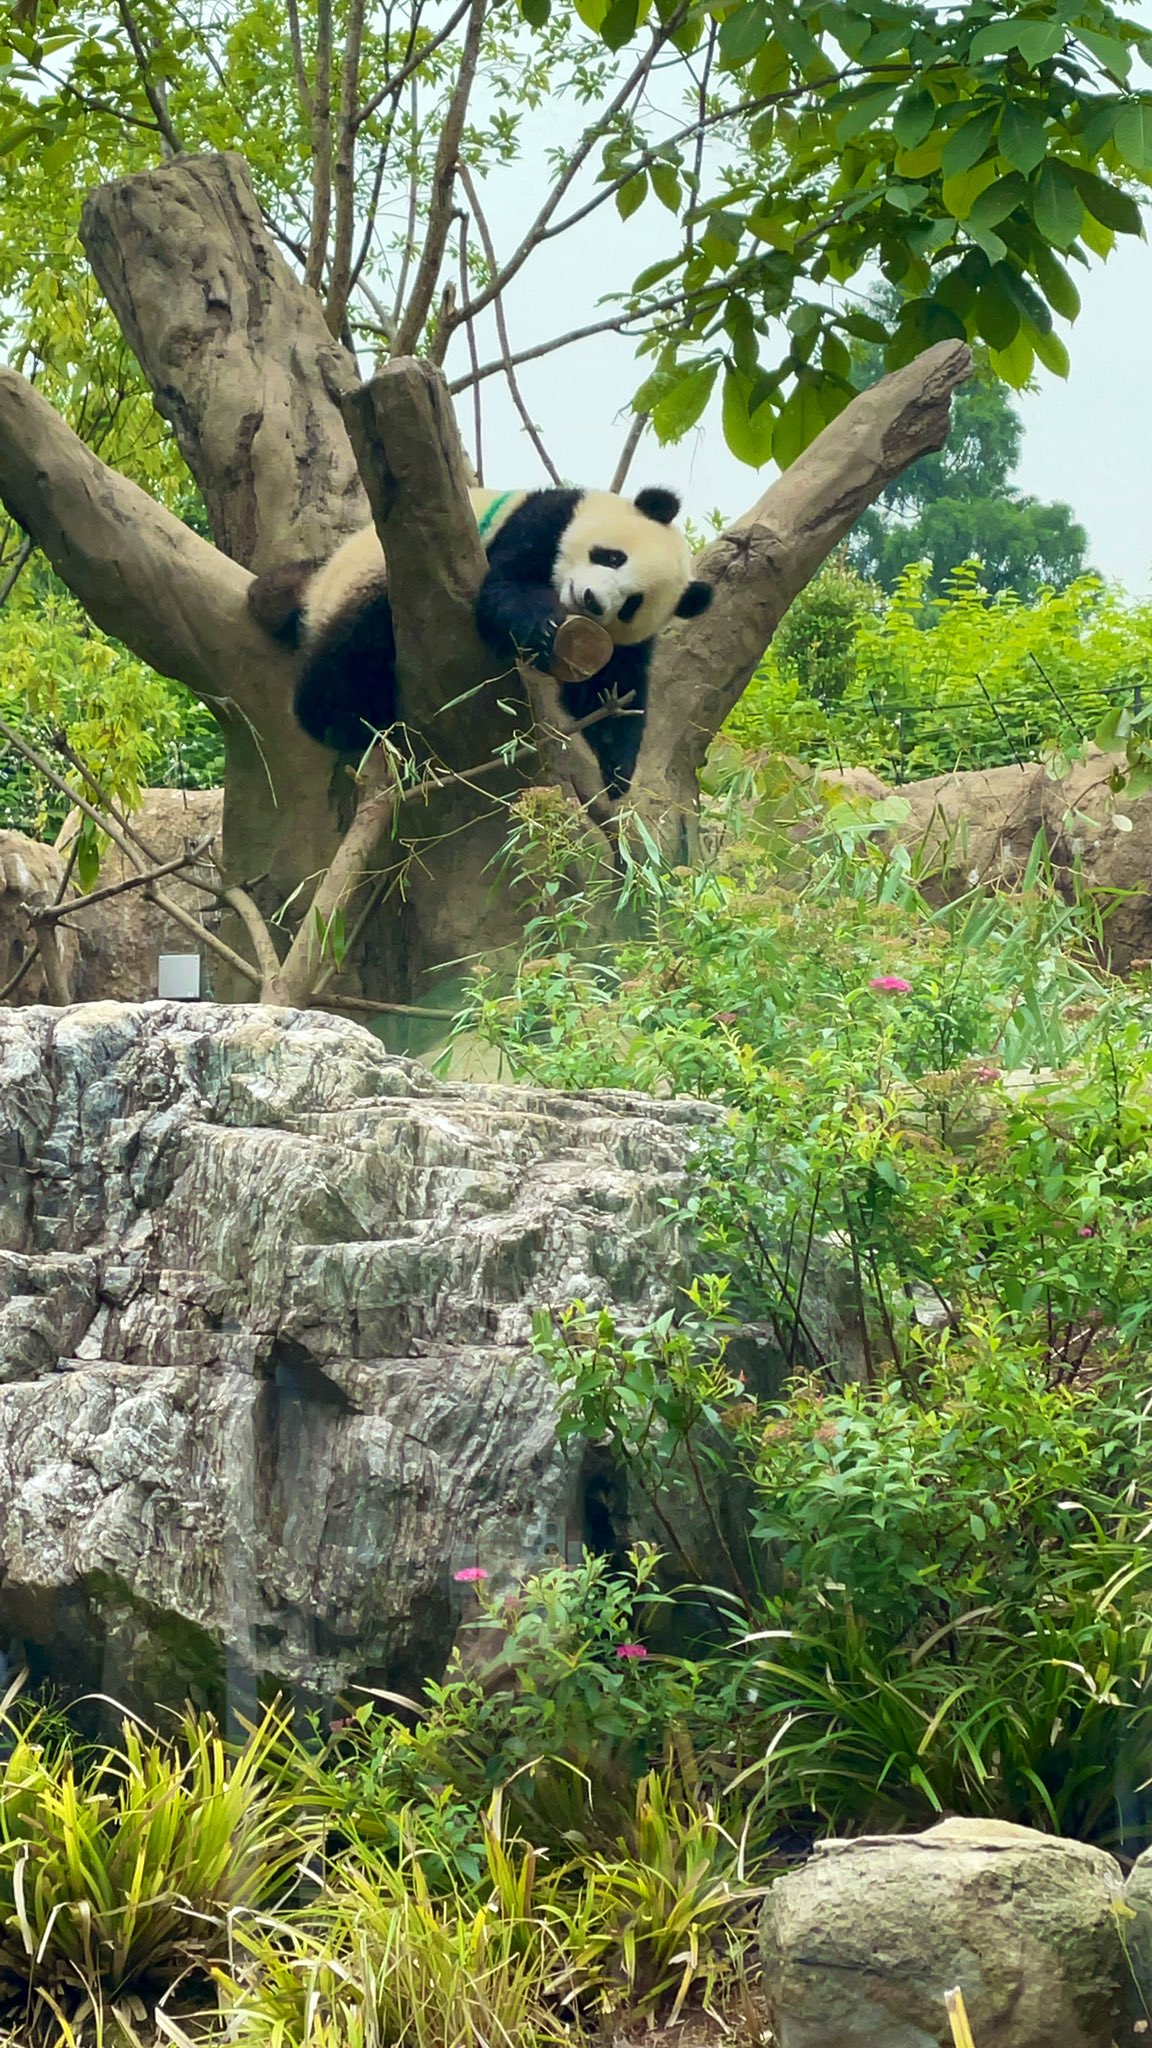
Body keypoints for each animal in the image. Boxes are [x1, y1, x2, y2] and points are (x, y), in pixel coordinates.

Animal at [247, 483, 709, 794]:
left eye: (631, 603)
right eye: (612, 557)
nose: (592, 600)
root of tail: (316, 587)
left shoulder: (624, 645)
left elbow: (613, 687)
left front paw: (616, 769)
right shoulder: (543, 521)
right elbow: (503, 590)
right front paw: (543, 626)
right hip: (372, 581)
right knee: (354, 649)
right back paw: (337, 717)